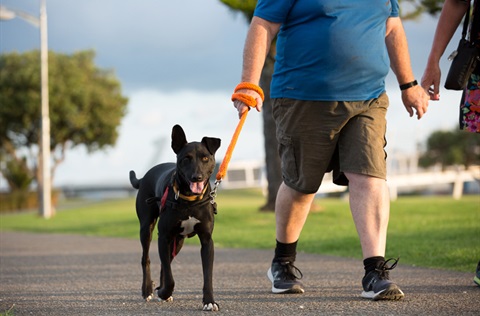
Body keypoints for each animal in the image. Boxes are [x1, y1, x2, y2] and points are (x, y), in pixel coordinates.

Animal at [130, 124, 222, 312]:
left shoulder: (206, 241)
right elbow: (169, 275)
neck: (190, 201)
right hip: (147, 228)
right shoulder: (163, 236)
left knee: (166, 264)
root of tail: (144, 176)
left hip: (178, 241)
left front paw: (209, 301)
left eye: (205, 158)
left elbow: (207, 275)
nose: (197, 177)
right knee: (147, 259)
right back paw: (148, 290)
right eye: (186, 159)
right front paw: (163, 292)